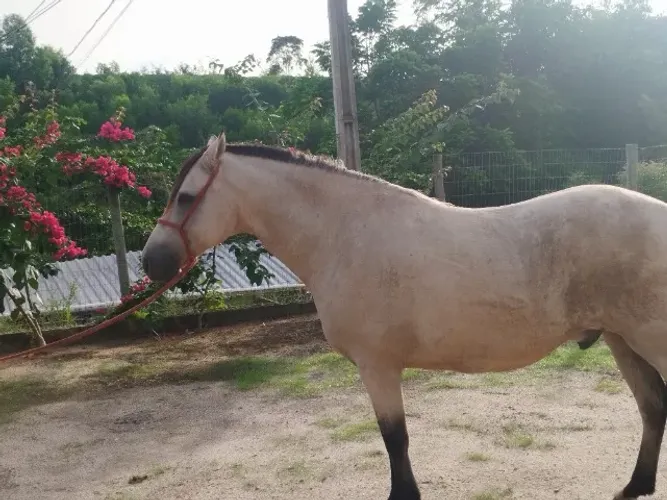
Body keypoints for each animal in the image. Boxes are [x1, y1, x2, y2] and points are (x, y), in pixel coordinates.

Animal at [141, 132, 667, 500]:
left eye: (185, 197)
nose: (152, 262)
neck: (345, 234)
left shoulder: (377, 365)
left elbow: (395, 438)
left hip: (648, 340)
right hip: (623, 341)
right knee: (652, 407)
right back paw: (634, 486)